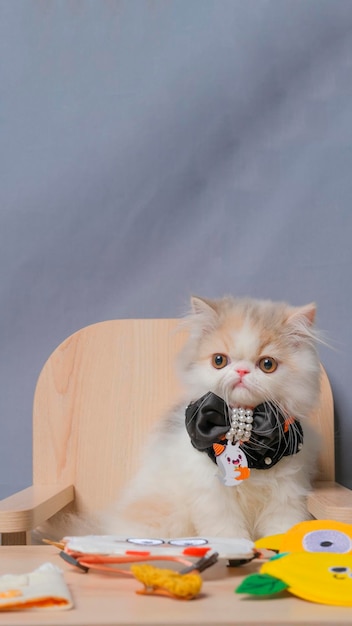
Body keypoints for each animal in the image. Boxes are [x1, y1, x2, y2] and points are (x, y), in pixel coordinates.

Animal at [102, 294, 322, 540]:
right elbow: (227, 531)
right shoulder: (212, 495)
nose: (242, 371)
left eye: (267, 364)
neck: (249, 441)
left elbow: (283, 527)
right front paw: (238, 546)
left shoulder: (287, 491)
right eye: (219, 360)